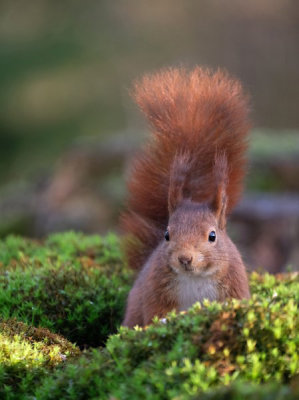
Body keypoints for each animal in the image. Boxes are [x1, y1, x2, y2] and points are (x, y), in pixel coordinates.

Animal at [120, 66, 252, 328]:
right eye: (167, 234)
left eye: (212, 236)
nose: (184, 258)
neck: (196, 278)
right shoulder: (155, 290)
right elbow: (155, 313)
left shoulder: (234, 285)